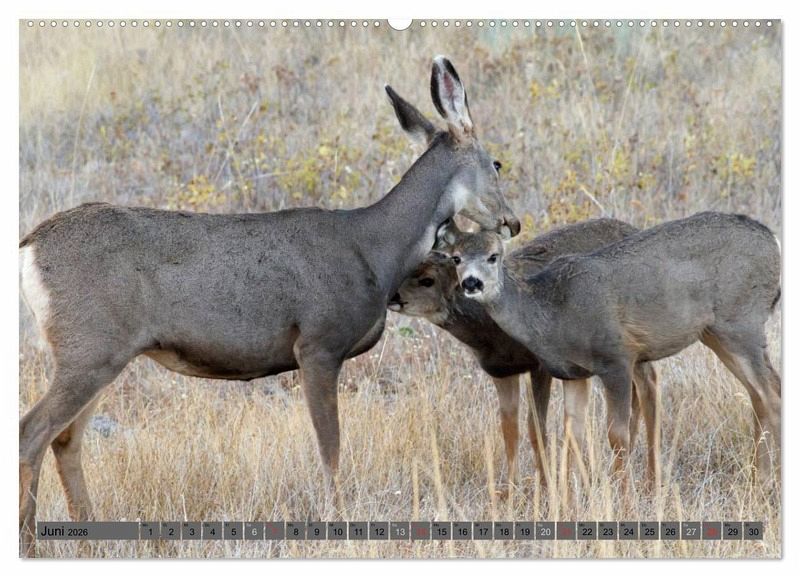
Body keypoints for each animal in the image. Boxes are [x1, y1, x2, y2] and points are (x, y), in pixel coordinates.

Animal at [18, 56, 520, 556]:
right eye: (496, 162)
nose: (513, 222)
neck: (375, 249)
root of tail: (28, 248)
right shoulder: (318, 343)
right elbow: (330, 446)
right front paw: (336, 522)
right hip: (89, 347)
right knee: (32, 432)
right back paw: (30, 542)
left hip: (102, 354)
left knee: (66, 439)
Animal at [389, 218, 659, 492]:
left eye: (427, 280)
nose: (393, 297)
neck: (489, 331)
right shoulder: (501, 371)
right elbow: (509, 428)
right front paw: (511, 489)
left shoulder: (540, 364)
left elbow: (535, 427)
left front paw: (546, 485)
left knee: (648, 384)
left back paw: (647, 478)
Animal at [441, 212, 781, 486]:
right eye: (456, 258)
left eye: (493, 256)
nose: (471, 283)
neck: (550, 308)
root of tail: (774, 241)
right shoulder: (573, 373)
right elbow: (573, 434)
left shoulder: (616, 357)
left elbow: (616, 435)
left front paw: (622, 496)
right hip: (716, 332)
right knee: (762, 392)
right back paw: (758, 478)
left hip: (741, 322)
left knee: (770, 393)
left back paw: (765, 483)